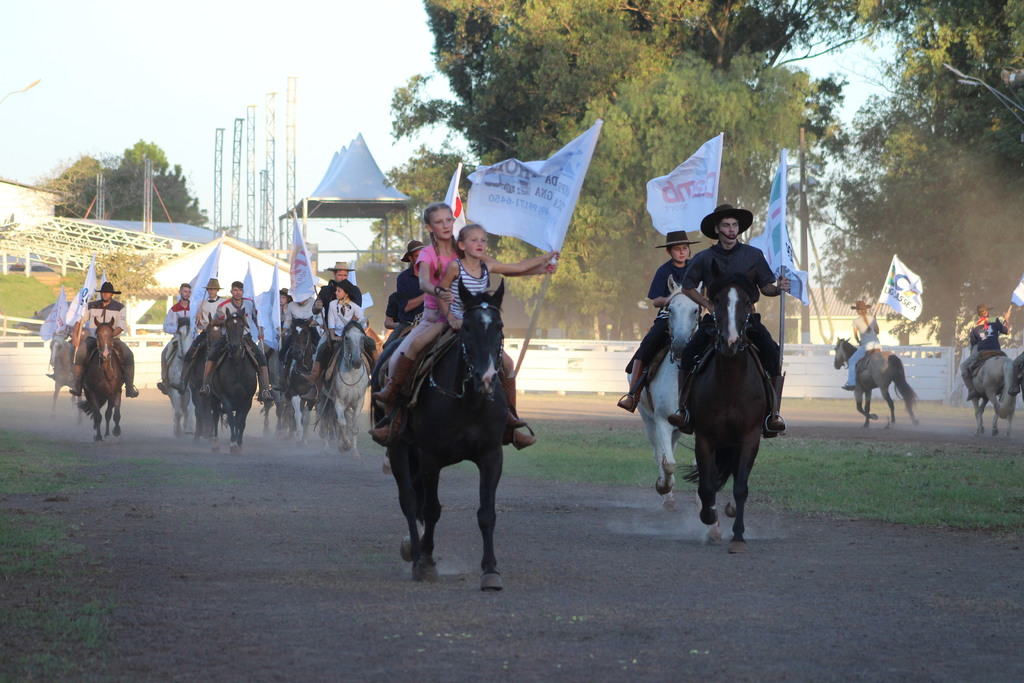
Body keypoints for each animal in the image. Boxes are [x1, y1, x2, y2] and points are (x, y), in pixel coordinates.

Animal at [321, 321, 370, 454]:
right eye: (347, 338)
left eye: (362, 338)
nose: (356, 362)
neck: (352, 375)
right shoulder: (339, 400)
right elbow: (341, 422)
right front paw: (346, 445)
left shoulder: (359, 401)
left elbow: (353, 426)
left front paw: (354, 452)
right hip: (325, 400)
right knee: (327, 421)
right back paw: (327, 447)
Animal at [382, 280, 509, 589]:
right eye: (467, 327)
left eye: (499, 326)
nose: (486, 377)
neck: (468, 401)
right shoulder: (431, 458)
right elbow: (431, 509)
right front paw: (426, 562)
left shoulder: (492, 456)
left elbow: (487, 513)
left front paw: (490, 569)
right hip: (398, 447)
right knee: (409, 500)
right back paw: (415, 553)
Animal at [634, 276, 700, 507]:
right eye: (670, 309)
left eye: (696, 309)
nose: (680, 345)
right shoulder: (662, 420)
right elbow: (668, 462)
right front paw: (664, 488)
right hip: (648, 420)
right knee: (659, 454)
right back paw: (667, 496)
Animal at [688, 270, 770, 552]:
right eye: (717, 301)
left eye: (745, 302)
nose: (731, 341)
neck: (731, 383)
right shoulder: (704, 437)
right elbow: (706, 487)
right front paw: (708, 516)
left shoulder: (750, 437)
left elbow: (741, 487)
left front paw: (738, 536)